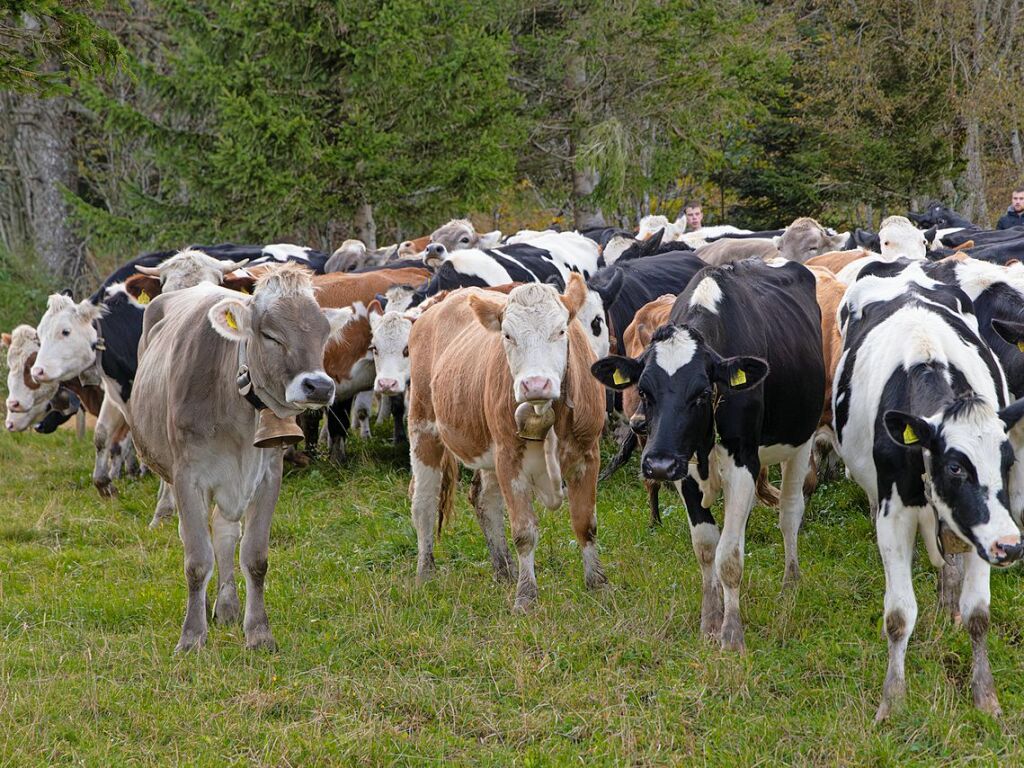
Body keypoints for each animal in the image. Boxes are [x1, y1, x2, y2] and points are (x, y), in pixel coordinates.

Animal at [131, 264, 352, 651]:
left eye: (324, 334)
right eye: (270, 335)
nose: (320, 387)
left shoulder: (267, 476)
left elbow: (255, 557)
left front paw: (259, 632)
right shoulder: (188, 477)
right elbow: (196, 560)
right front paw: (192, 636)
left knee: (224, 531)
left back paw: (227, 606)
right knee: (195, 537)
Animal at [407, 276, 606, 614]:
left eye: (560, 331)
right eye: (508, 335)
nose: (535, 384)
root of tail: (444, 298)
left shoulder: (587, 455)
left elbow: (585, 524)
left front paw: (598, 585)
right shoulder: (509, 458)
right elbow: (524, 532)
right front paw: (525, 597)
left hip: (487, 450)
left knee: (484, 501)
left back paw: (504, 570)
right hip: (424, 428)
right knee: (424, 504)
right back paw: (425, 573)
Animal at [593, 262, 823, 651]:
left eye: (701, 393)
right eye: (644, 391)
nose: (657, 464)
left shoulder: (744, 461)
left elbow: (728, 556)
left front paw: (732, 634)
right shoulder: (684, 469)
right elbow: (706, 547)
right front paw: (710, 621)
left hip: (800, 439)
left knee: (790, 512)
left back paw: (790, 583)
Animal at [831, 264, 1024, 720]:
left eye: (1006, 462)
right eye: (955, 466)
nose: (1011, 546)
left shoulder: (980, 526)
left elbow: (978, 613)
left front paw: (985, 695)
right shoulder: (894, 514)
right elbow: (899, 614)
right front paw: (892, 700)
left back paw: (947, 600)